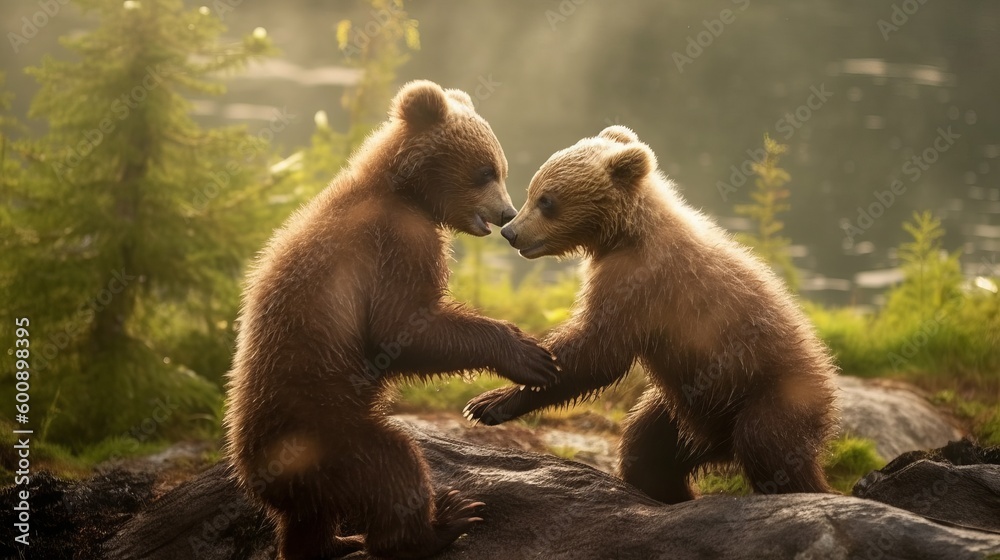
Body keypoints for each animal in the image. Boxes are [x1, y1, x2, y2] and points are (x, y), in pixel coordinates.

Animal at [223, 80, 560, 560]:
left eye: (501, 167)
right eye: (485, 171)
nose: (507, 214)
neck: (402, 192)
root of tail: (254, 472)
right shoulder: (396, 244)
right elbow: (400, 329)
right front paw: (527, 353)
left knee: (307, 516)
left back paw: (333, 542)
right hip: (326, 429)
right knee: (392, 466)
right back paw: (443, 521)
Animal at [464, 125, 838, 504]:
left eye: (547, 200)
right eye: (533, 191)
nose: (511, 232)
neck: (625, 235)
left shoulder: (642, 285)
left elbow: (598, 351)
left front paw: (490, 401)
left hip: (771, 392)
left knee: (768, 447)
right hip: (682, 405)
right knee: (647, 448)